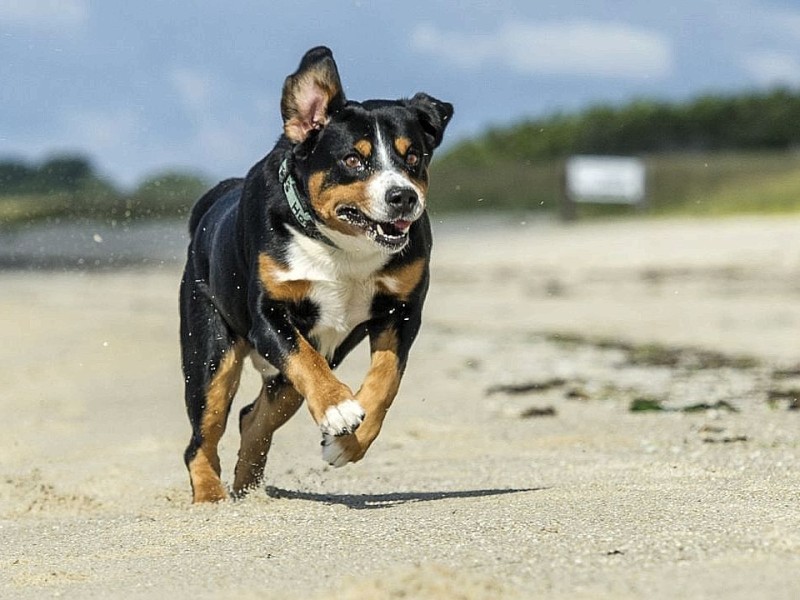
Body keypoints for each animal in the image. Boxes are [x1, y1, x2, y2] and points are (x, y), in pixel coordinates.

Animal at [181, 45, 454, 502]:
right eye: (353, 159)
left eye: (413, 157)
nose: (402, 196)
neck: (344, 250)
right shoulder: (269, 316)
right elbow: (306, 362)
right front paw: (337, 407)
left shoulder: (401, 312)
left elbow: (385, 381)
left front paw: (348, 444)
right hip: (210, 354)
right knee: (203, 435)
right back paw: (213, 499)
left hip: (295, 375)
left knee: (252, 419)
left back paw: (248, 490)